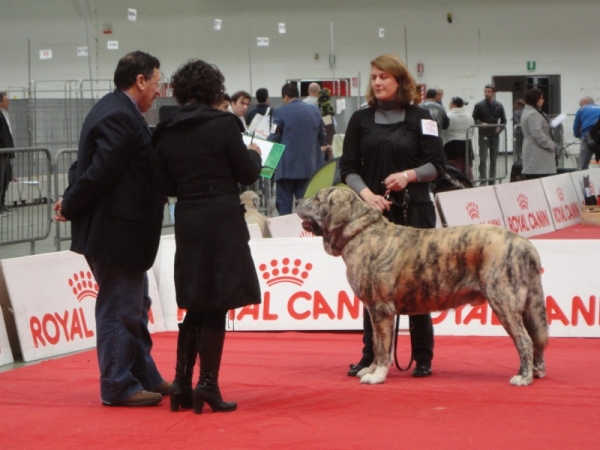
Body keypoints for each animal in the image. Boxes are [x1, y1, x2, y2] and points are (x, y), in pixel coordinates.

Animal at [296, 186, 548, 386]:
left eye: (318, 199)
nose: (297, 201)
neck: (359, 232)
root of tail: (524, 243)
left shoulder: (380, 309)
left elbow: (382, 346)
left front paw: (376, 376)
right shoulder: (376, 311)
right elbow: (377, 344)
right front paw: (370, 369)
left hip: (503, 301)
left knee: (524, 340)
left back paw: (523, 377)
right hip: (526, 306)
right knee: (535, 338)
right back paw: (536, 372)